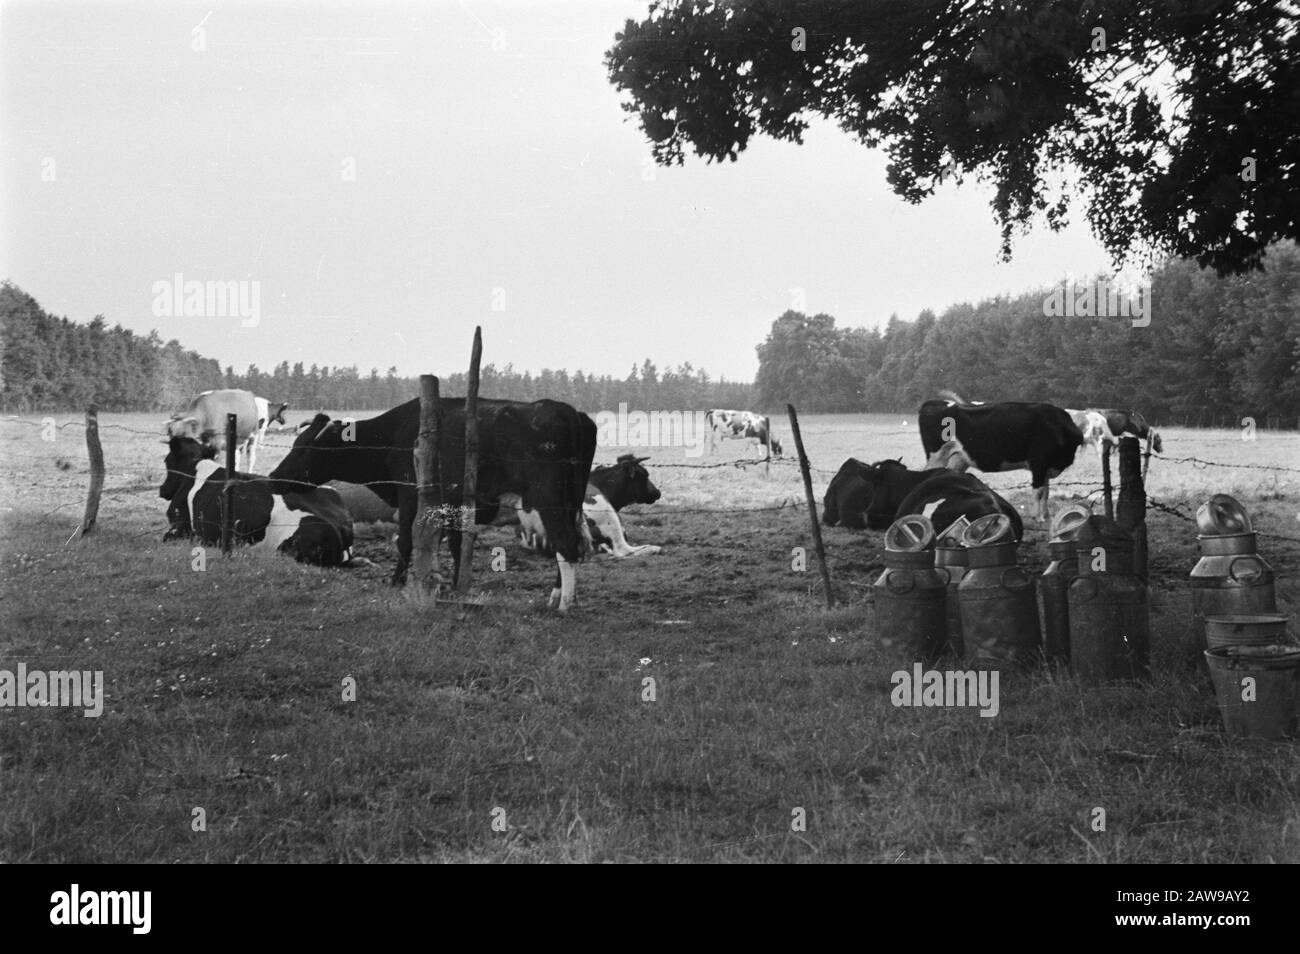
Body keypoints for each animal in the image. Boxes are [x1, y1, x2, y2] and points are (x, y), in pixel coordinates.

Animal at [271, 395, 600, 613]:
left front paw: (397, 581)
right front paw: (443, 583)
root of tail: (568, 411)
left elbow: (406, 540)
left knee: (565, 543)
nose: (274, 476)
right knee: (567, 543)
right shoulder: (448, 503)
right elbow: (447, 542)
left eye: (304, 447)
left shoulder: (409, 494)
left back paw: (564, 605)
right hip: (570, 502)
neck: (395, 433)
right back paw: (557, 596)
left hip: (549, 499)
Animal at [920, 389, 1081, 519]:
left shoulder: (1047, 467)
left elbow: (1046, 492)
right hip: (936, 456)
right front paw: (1037, 517)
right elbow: (1039, 492)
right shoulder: (1038, 463)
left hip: (958, 459)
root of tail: (933, 402)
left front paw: (1046, 516)